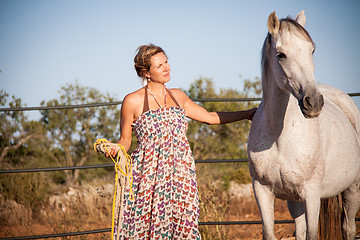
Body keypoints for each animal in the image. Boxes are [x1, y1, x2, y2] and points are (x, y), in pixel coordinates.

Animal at [248, 10, 360, 239]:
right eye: (281, 54)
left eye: (312, 50)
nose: (314, 102)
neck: (278, 136)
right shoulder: (262, 190)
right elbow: (270, 233)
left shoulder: (311, 193)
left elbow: (312, 234)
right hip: (294, 200)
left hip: (353, 188)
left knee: (349, 228)